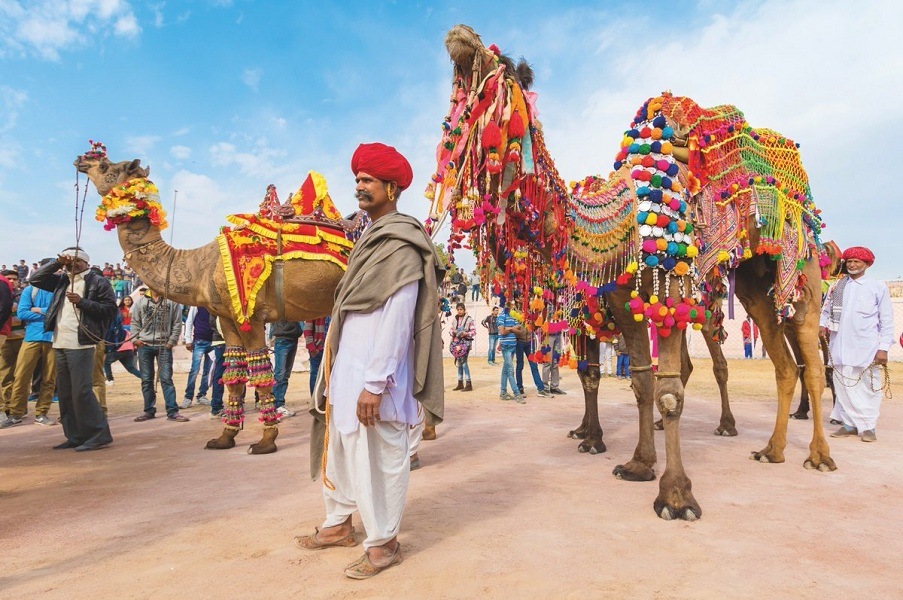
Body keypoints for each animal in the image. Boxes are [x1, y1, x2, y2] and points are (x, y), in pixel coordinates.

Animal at [428, 25, 836, 516]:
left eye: (499, 69)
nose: (459, 36)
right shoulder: (621, 306)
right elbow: (637, 382)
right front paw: (636, 462)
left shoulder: (670, 291)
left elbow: (667, 392)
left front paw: (676, 495)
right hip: (755, 287)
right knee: (783, 364)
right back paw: (771, 450)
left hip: (794, 272)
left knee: (803, 364)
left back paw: (811, 453)